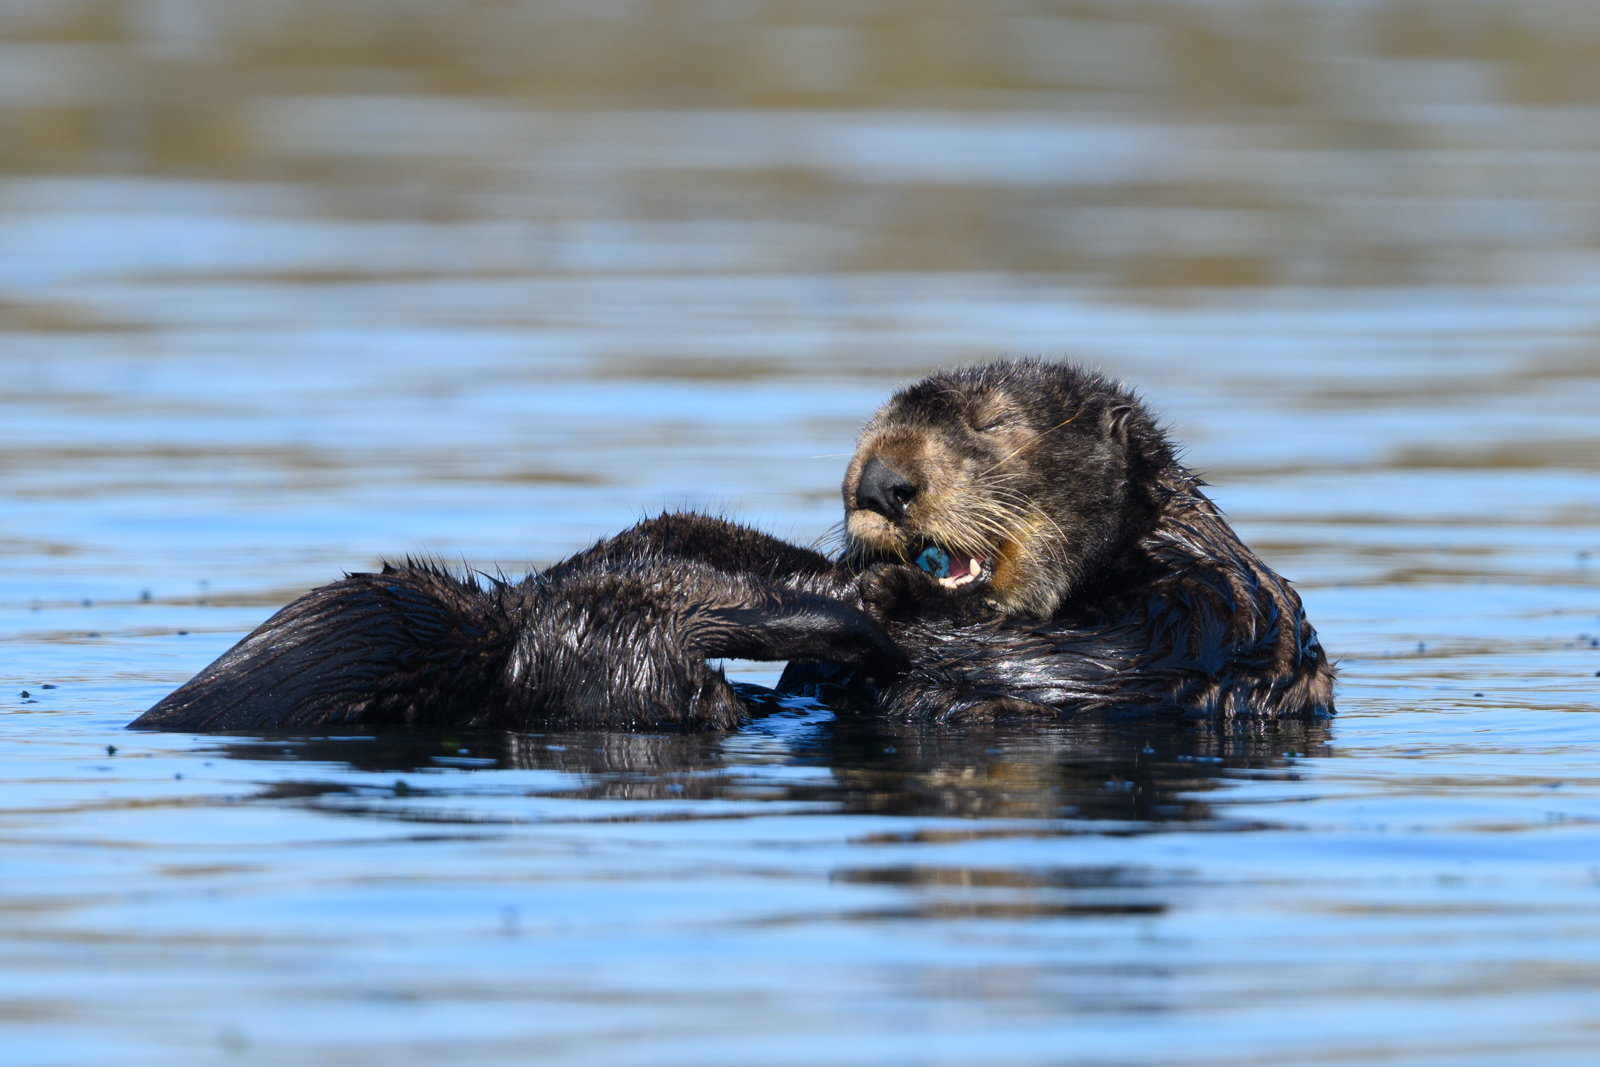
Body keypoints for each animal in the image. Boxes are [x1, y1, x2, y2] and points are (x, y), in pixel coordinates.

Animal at [131, 359, 1333, 732]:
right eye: (870, 427)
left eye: (990, 424)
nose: (879, 482)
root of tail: (508, 626)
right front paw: (845, 589)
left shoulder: (1207, 604)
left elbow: (1072, 659)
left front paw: (876, 608)